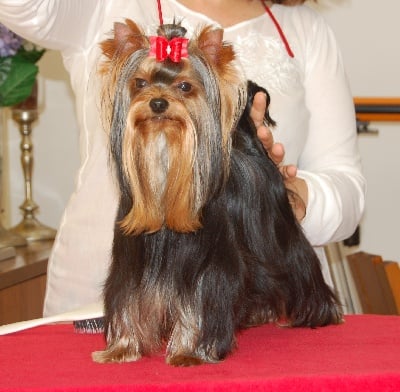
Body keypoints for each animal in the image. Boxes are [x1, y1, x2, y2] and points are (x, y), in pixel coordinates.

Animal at [92, 19, 342, 368]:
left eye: (185, 87)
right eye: (139, 83)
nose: (158, 102)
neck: (165, 158)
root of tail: (254, 148)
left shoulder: (209, 268)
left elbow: (200, 302)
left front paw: (189, 351)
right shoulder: (131, 264)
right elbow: (129, 299)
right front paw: (122, 348)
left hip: (277, 235)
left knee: (298, 264)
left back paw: (318, 313)